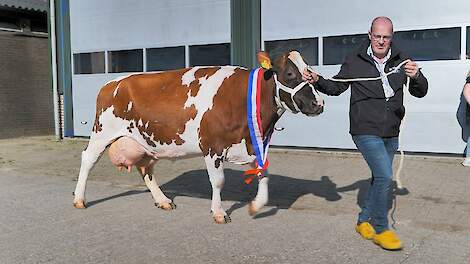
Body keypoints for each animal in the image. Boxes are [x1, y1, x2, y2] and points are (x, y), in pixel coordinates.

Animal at [72, 51, 324, 223]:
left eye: (311, 72)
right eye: (290, 73)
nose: (318, 103)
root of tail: (112, 83)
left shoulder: (255, 144)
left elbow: (263, 175)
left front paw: (256, 205)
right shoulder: (212, 146)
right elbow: (218, 181)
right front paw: (219, 212)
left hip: (146, 141)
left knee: (146, 170)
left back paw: (163, 200)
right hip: (102, 132)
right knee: (87, 160)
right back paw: (79, 199)